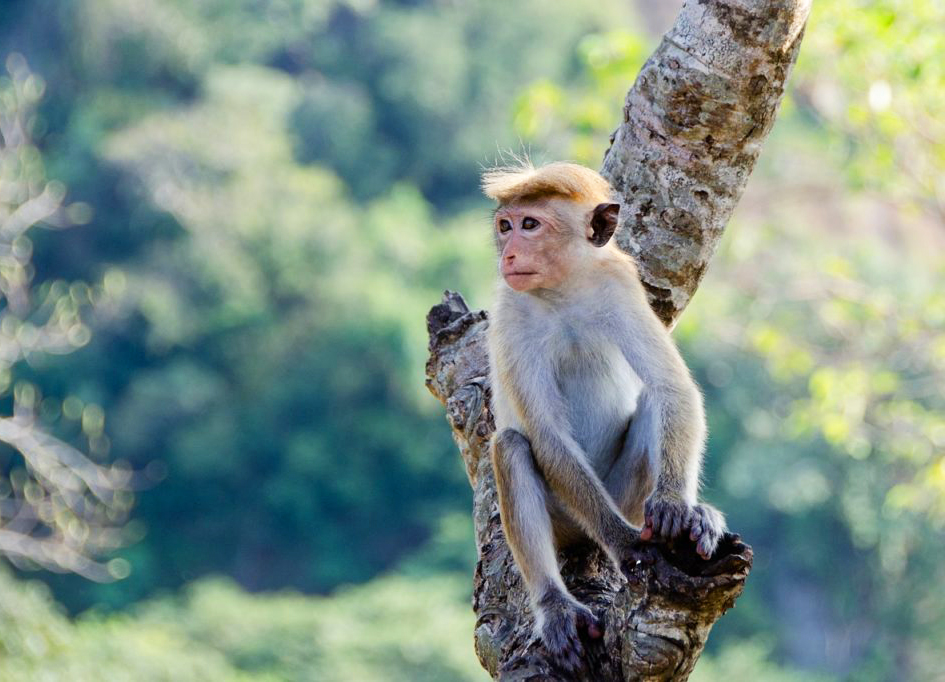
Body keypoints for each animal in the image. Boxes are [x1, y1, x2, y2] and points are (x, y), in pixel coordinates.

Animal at [484, 161, 728, 668]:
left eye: (529, 224)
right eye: (505, 226)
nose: (510, 253)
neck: (562, 292)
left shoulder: (619, 285)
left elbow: (671, 388)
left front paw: (676, 506)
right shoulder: (511, 314)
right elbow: (547, 435)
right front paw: (624, 543)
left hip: (624, 493)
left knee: (654, 401)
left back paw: (694, 515)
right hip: (568, 517)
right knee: (512, 446)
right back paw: (556, 606)